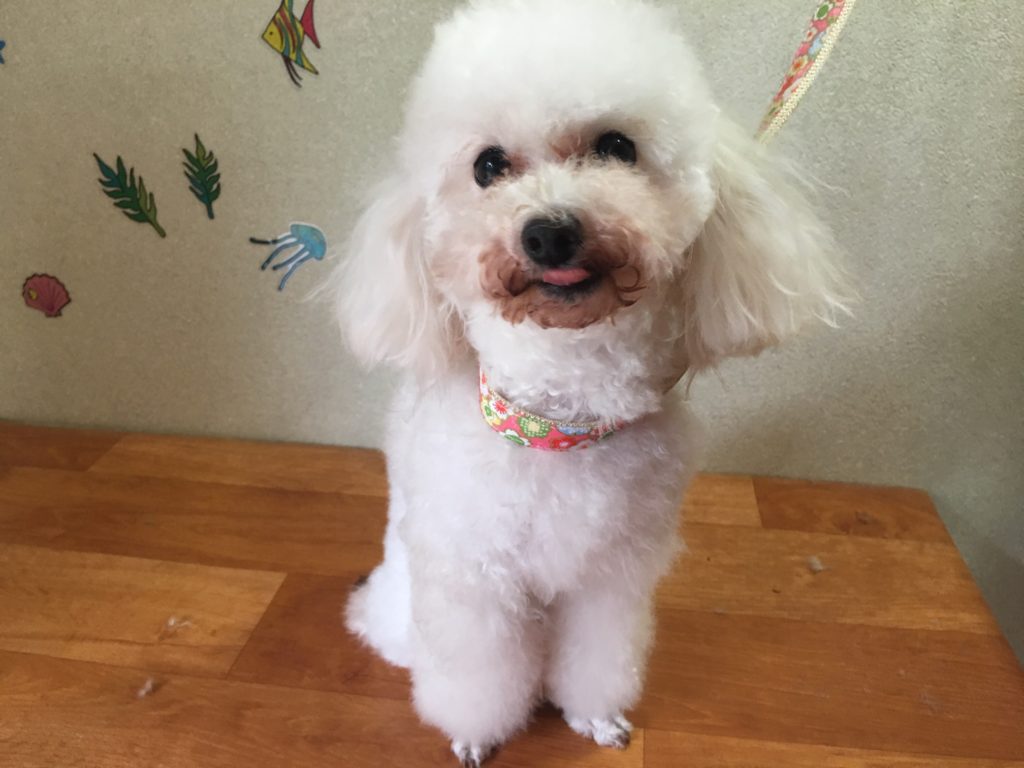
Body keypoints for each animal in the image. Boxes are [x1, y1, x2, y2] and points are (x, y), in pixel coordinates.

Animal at [333, 0, 847, 764]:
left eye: (615, 146)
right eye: (489, 166)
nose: (549, 232)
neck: (559, 416)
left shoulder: (612, 578)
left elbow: (599, 657)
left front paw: (595, 718)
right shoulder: (474, 579)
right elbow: (477, 673)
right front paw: (476, 734)